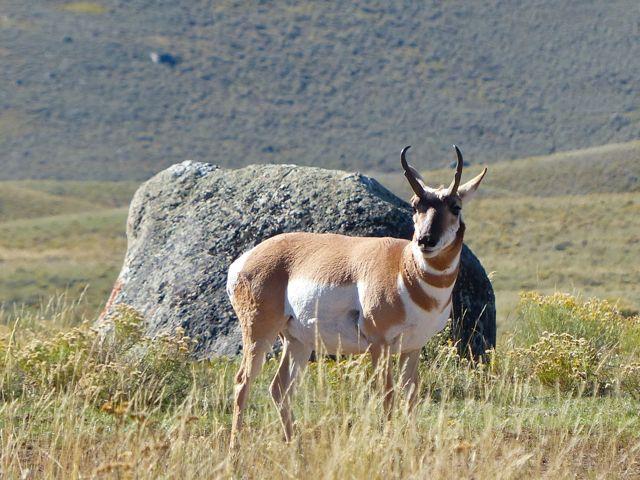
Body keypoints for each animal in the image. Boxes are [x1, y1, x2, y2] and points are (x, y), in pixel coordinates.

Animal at [228, 145, 488, 446]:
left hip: (297, 342)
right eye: (415, 205)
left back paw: (294, 444)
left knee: (279, 388)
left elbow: (411, 396)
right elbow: (387, 395)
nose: (425, 240)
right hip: (260, 333)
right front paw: (389, 441)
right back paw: (235, 448)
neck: (403, 267)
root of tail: (244, 260)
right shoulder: (380, 345)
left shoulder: (412, 348)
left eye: (456, 207)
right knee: (243, 381)